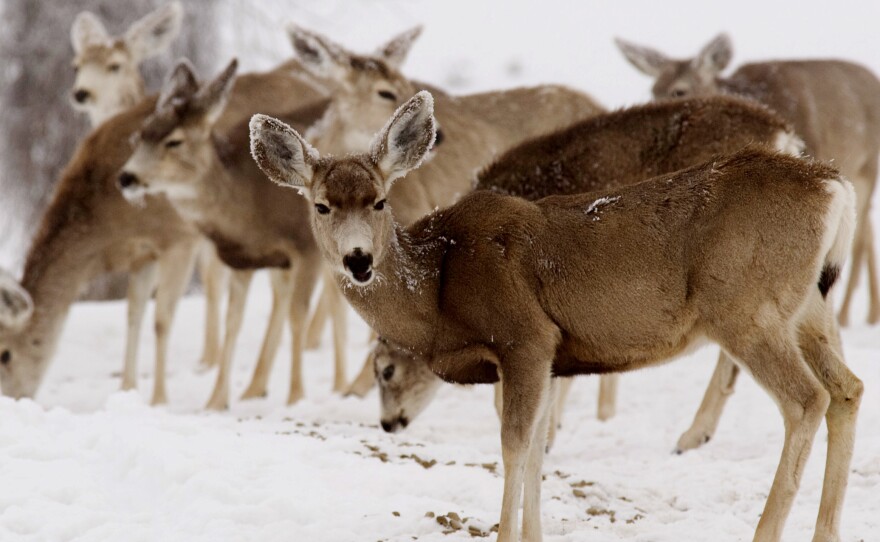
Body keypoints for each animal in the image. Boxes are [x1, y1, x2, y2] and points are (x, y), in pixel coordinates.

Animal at [616, 35, 880, 332]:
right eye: (653, 90)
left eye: (679, 91)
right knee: (867, 229)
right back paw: (870, 315)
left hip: (867, 167)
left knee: (860, 236)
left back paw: (848, 317)